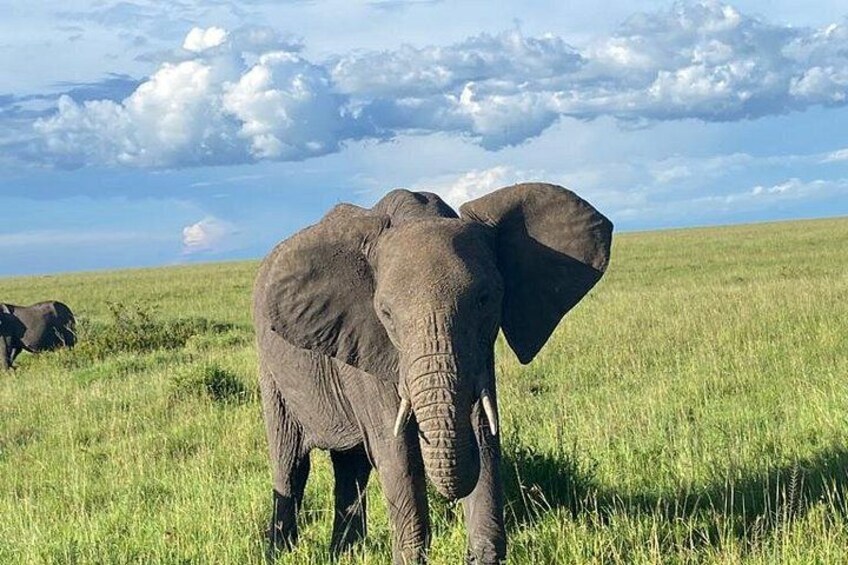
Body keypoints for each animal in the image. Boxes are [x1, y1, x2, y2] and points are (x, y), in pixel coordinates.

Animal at [252, 182, 613, 564]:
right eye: (386, 313)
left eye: (485, 299)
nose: (470, 555)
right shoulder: (367, 341)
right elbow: (397, 451)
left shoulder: (480, 350)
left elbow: (483, 432)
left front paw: (485, 556)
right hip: (270, 369)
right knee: (291, 463)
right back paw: (280, 552)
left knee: (351, 466)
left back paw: (345, 553)